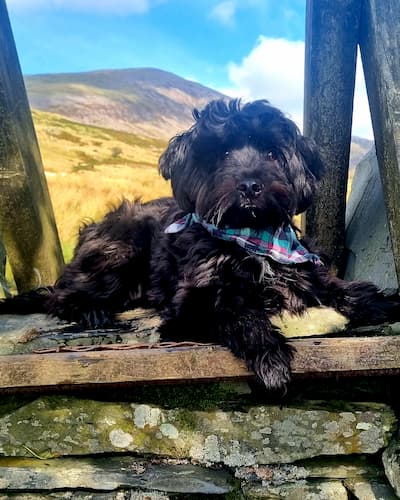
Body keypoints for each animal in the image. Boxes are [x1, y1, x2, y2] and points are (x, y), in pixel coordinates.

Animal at [0, 99, 400, 390]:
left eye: (272, 153)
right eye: (222, 155)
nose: (251, 186)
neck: (251, 238)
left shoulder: (303, 273)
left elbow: (346, 290)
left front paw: (385, 301)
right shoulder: (193, 303)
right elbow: (240, 314)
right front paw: (270, 358)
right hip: (123, 246)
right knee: (61, 296)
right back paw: (92, 311)